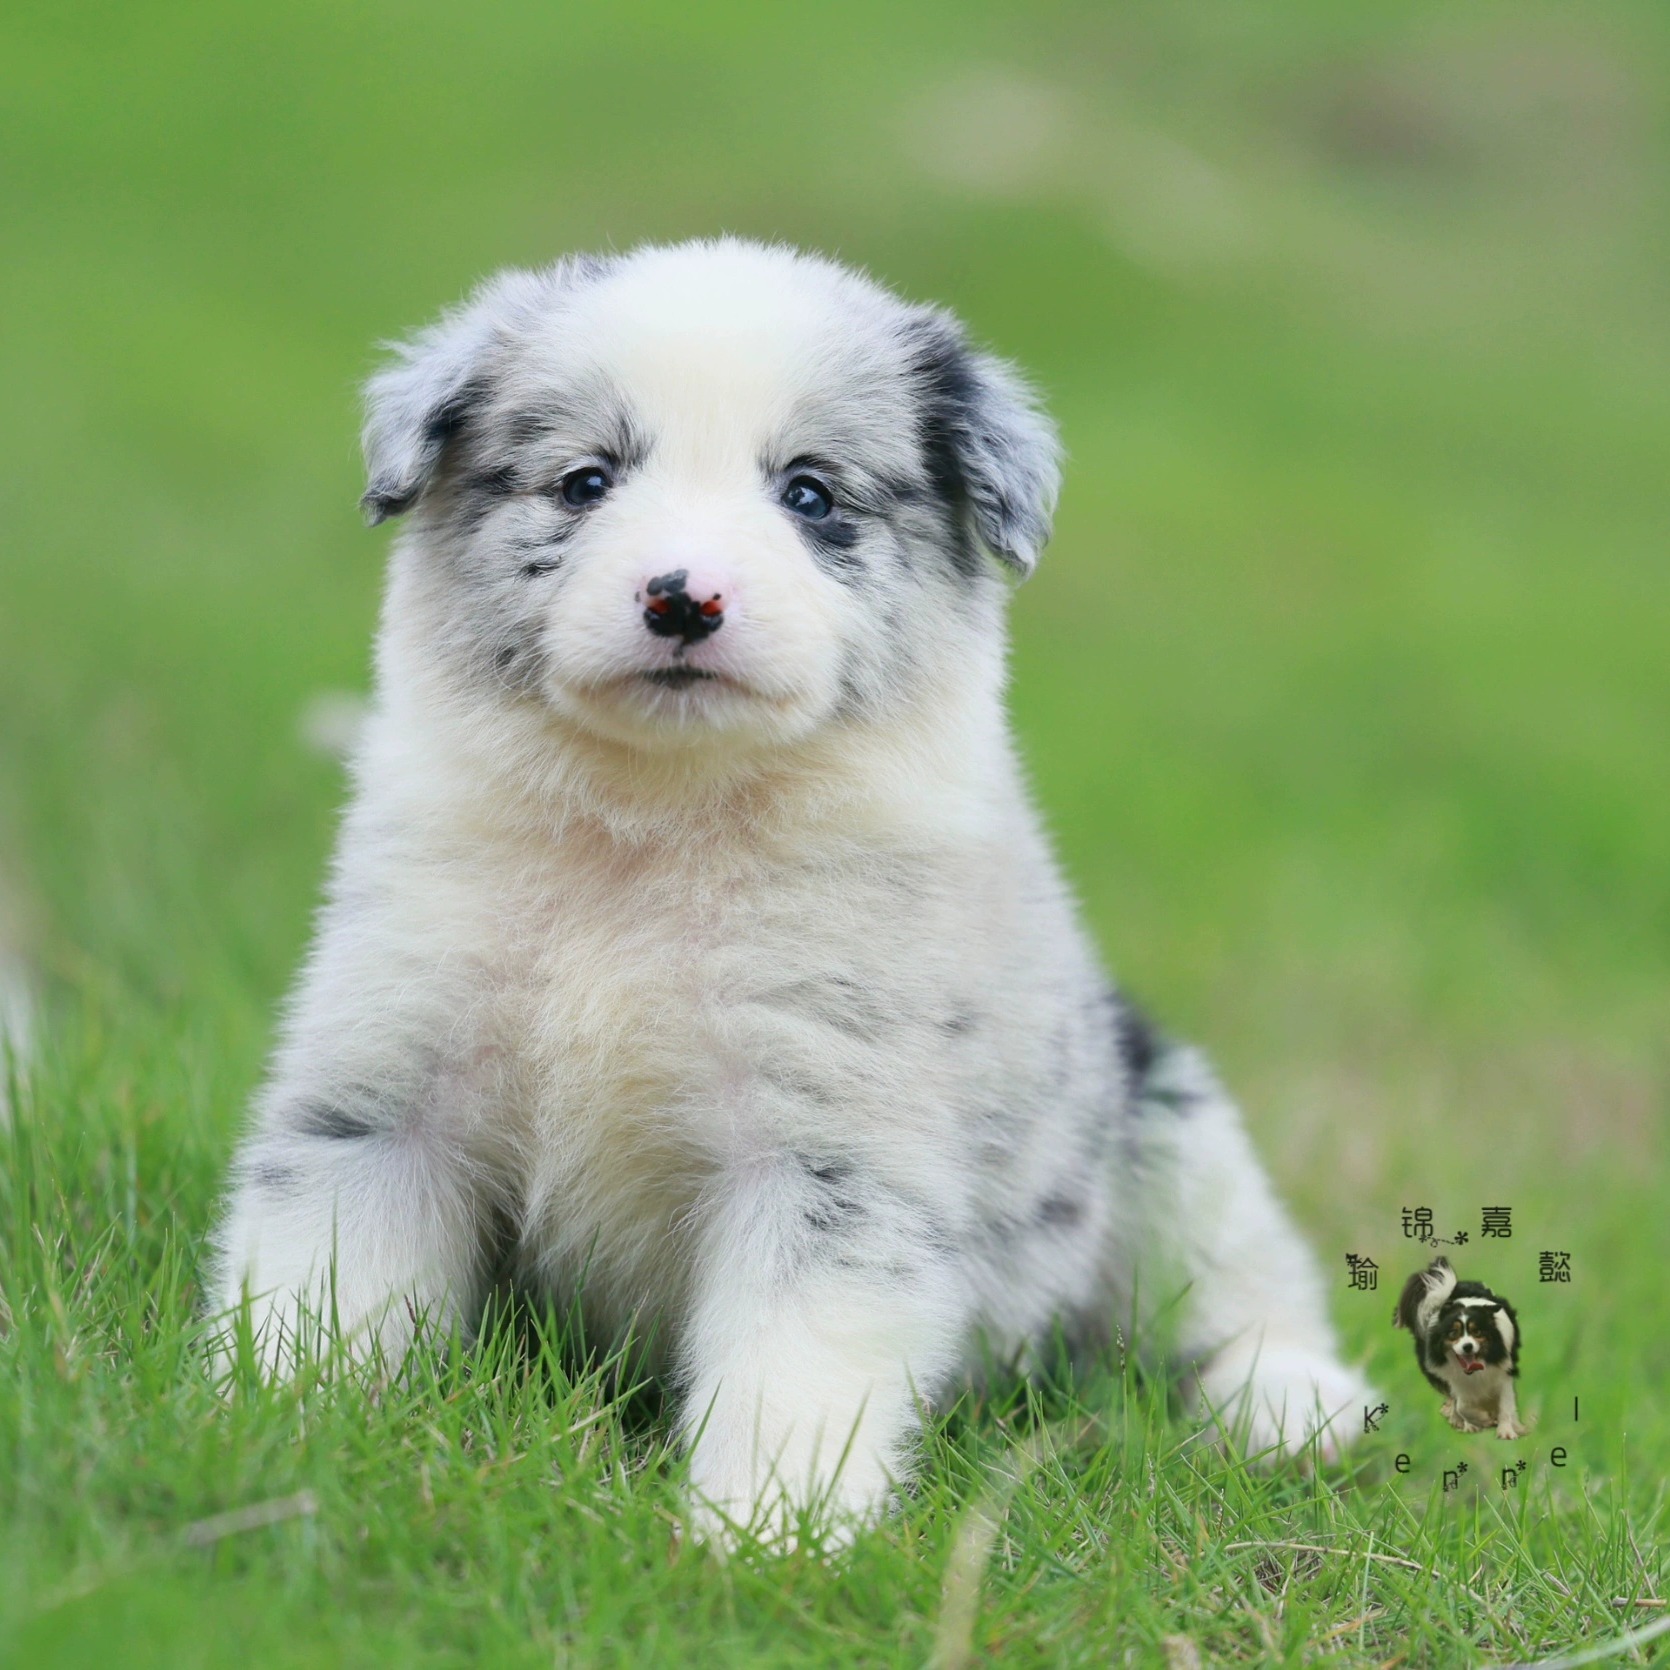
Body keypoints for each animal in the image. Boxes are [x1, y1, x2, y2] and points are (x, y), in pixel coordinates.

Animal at [208, 235, 1376, 1536]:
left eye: (809, 494)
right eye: (583, 483)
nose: (682, 596)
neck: (650, 834)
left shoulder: (829, 1152)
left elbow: (793, 1363)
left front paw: (763, 1533)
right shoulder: (384, 1091)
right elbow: (323, 1279)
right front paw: (280, 1438)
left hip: (1164, 1120)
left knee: (1237, 1289)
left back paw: (1292, 1404)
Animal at [1396, 1255, 1529, 1442]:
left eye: (1477, 1331)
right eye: (1453, 1333)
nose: (1467, 1347)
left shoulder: (1504, 1371)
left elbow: (1505, 1403)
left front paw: (1506, 1431)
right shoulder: (1455, 1379)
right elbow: (1462, 1405)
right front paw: (1480, 1420)